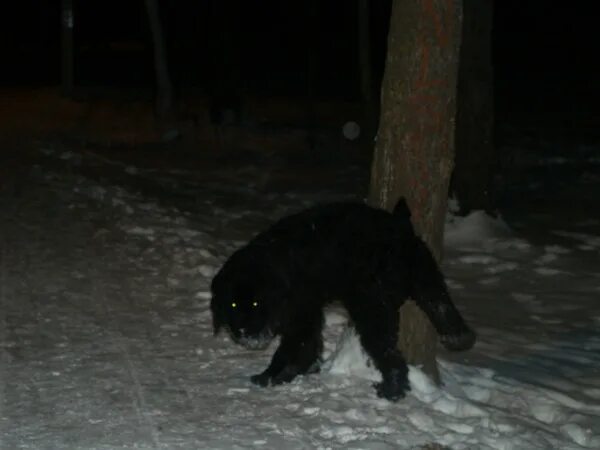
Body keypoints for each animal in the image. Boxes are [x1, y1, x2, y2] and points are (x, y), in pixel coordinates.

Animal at [211, 200, 474, 400]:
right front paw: (295, 373)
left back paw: (392, 390)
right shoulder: (308, 313)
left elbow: (290, 349)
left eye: (256, 304)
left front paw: (271, 376)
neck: (276, 266)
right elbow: (308, 347)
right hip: (427, 281)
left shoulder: (301, 314)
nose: (245, 334)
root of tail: (402, 231)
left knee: (391, 355)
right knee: (443, 308)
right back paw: (457, 338)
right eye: (232, 305)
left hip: (371, 306)